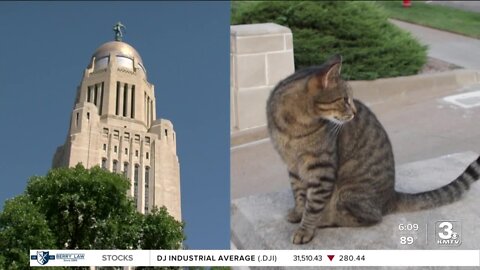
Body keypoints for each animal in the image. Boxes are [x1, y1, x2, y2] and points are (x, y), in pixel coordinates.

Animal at [266, 54, 480, 245]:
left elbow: (312, 207)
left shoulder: (321, 169)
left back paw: (327, 220)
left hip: (348, 192)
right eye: (345, 99)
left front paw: (305, 230)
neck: (294, 126)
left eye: (351, 99)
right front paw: (297, 213)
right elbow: (299, 195)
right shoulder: (293, 166)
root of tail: (392, 195)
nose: (354, 112)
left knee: (372, 218)